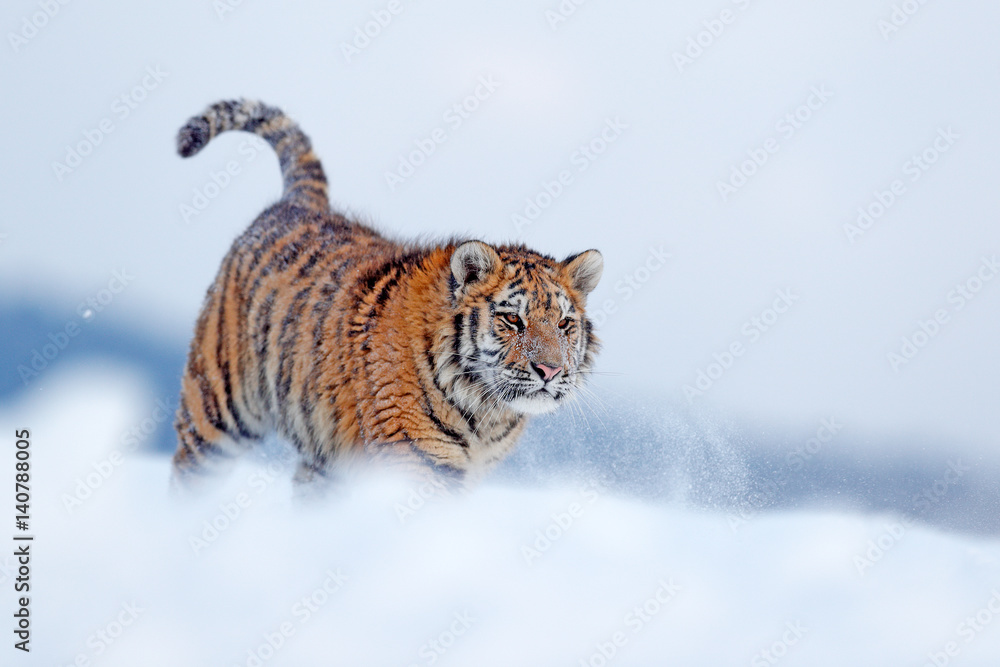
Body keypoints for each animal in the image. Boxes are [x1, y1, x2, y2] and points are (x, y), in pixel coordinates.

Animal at [170, 99, 604, 491]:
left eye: (564, 324)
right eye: (513, 319)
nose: (550, 371)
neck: (486, 415)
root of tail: (301, 202)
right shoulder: (415, 460)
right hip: (215, 412)